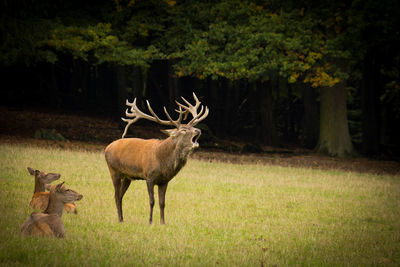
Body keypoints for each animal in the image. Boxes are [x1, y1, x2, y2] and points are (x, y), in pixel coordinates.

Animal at [104, 92, 208, 224]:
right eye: (183, 130)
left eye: (193, 126)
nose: (198, 130)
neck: (163, 163)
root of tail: (107, 147)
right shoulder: (149, 177)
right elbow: (152, 201)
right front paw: (150, 222)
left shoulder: (164, 181)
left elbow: (162, 203)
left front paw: (163, 223)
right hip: (113, 170)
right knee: (116, 196)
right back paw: (119, 219)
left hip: (128, 176)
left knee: (120, 195)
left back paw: (122, 219)